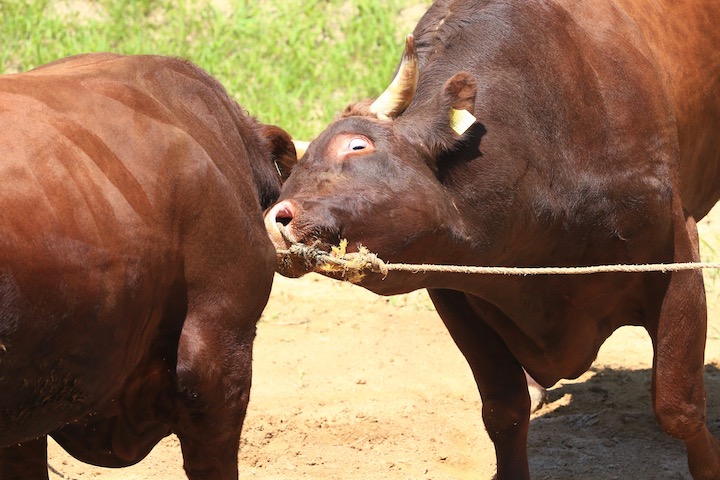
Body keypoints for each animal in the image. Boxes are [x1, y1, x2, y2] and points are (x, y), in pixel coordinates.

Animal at [266, 1, 720, 478]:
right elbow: (504, 412)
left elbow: (678, 405)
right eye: (295, 167)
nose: (276, 218)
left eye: (357, 146)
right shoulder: (454, 287)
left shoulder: (676, 250)